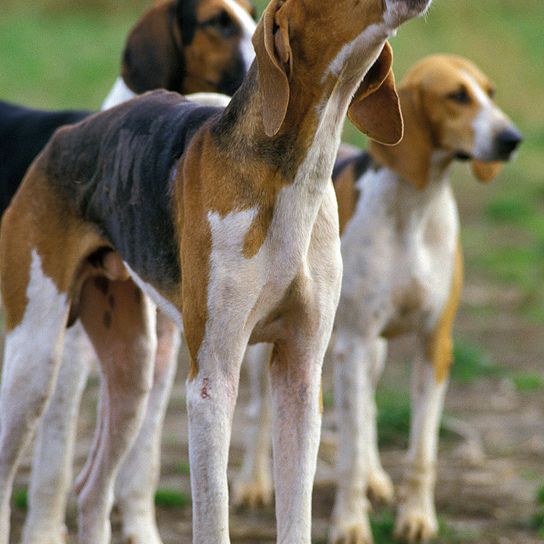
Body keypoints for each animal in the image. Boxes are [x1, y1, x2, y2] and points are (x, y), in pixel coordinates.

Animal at [0, 1, 432, 544]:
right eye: (218, 24)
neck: (292, 174)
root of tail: (63, 136)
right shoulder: (212, 383)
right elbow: (213, 514)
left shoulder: (300, 373)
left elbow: (296, 516)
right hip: (36, 363)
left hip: (134, 370)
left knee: (91, 489)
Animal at [235, 55, 524, 544]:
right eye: (457, 96)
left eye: (490, 92)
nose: (512, 139)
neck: (415, 206)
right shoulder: (353, 344)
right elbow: (346, 455)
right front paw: (350, 523)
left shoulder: (434, 345)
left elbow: (421, 451)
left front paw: (417, 517)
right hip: (277, 346)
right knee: (260, 413)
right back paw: (253, 482)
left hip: (374, 351)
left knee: (367, 409)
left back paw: (375, 476)